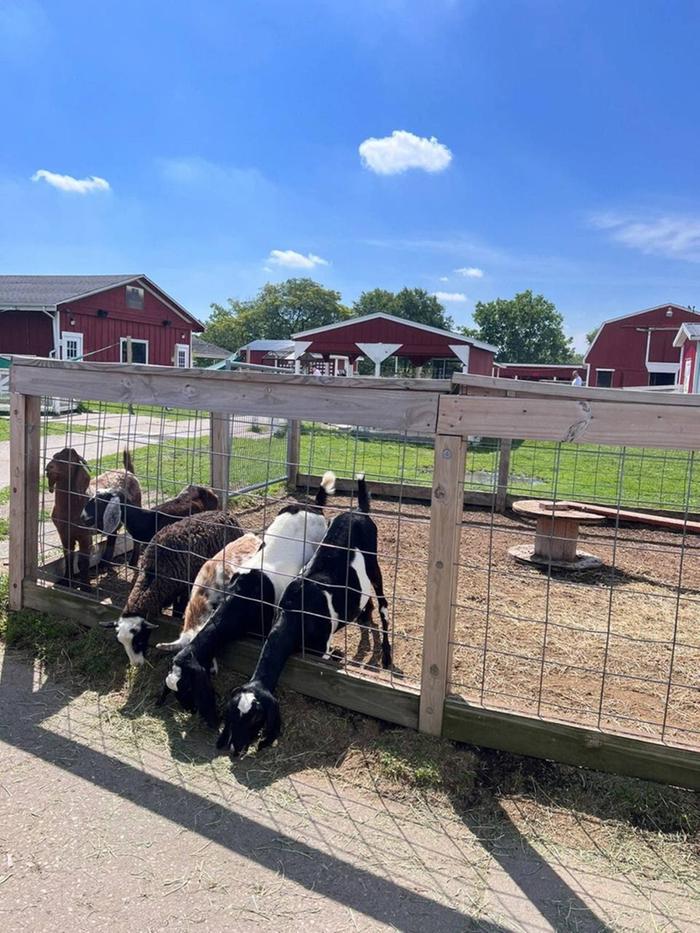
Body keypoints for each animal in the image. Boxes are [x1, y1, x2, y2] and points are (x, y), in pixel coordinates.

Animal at [101, 506, 246, 668]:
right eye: (121, 643)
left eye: (139, 641)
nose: (136, 664)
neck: (153, 574)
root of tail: (224, 512)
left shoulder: (184, 591)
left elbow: (177, 613)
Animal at [216, 474, 392, 756]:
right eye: (232, 713)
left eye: (256, 717)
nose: (234, 748)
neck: (295, 614)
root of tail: (358, 511)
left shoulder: (321, 648)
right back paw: (364, 617)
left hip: (375, 568)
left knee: (384, 605)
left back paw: (386, 656)